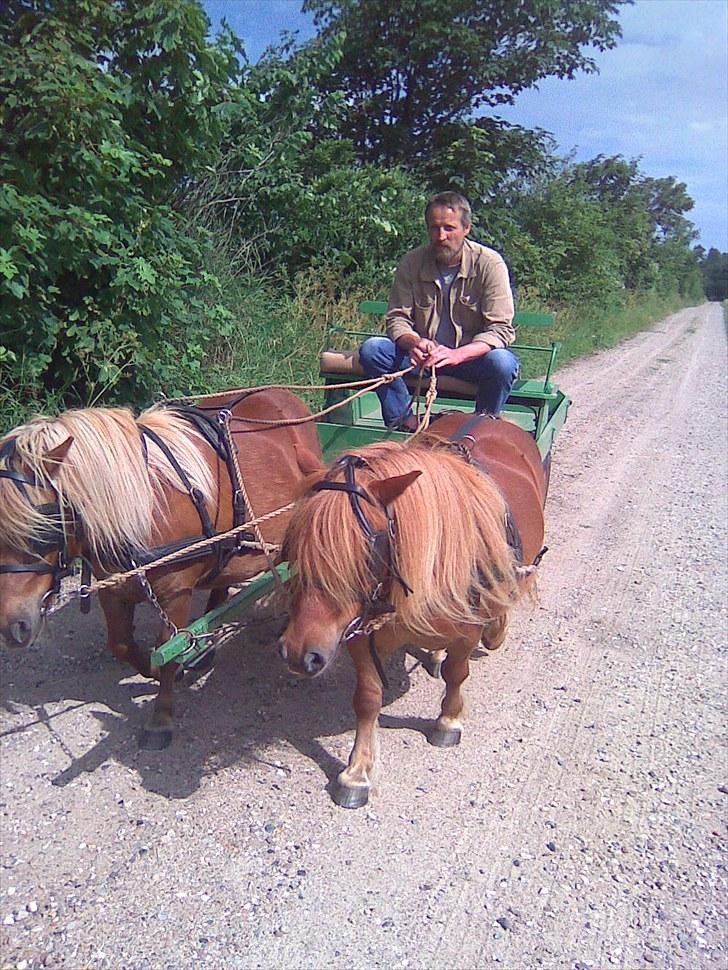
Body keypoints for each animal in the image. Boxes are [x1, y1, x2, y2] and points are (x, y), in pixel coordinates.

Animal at [0, 388, 322, 748]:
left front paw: (161, 718)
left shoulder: (176, 593)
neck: (146, 506)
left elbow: (167, 647)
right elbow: (123, 645)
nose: (13, 627)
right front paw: (161, 668)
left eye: (43, 529)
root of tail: (283, 393)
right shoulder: (113, 587)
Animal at [278, 412, 544, 804]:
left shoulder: (467, 629)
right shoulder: (358, 630)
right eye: (296, 545)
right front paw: (357, 771)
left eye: (366, 553)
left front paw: (448, 721)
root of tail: (489, 416)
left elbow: (457, 673)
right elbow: (368, 698)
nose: (299, 653)